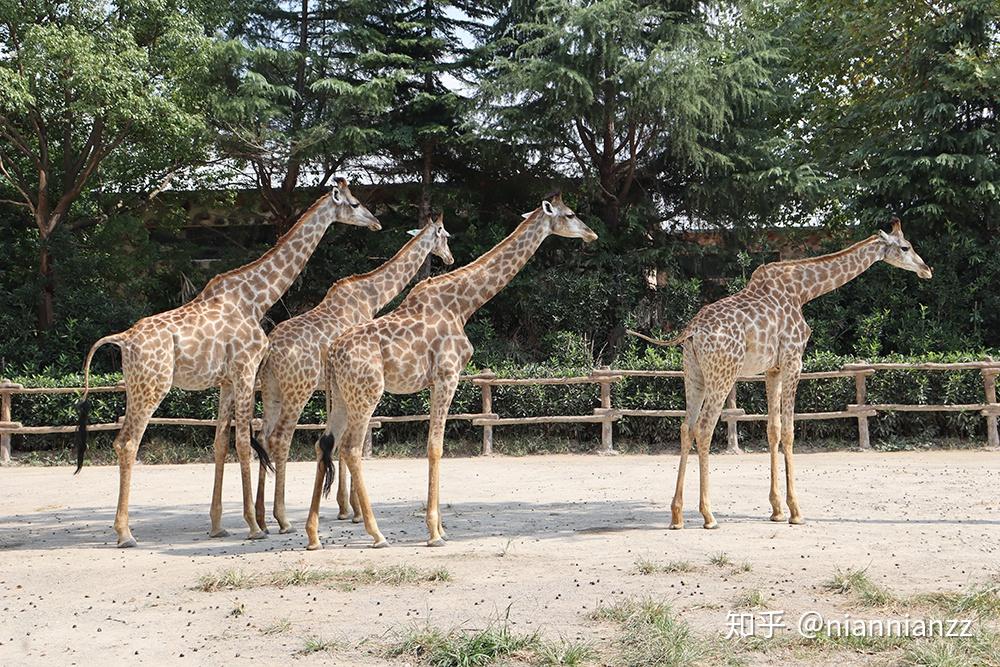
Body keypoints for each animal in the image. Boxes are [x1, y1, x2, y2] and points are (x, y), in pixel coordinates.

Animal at [76, 179, 380, 548]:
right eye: (354, 203)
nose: (376, 223)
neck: (256, 298)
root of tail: (123, 340)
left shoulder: (226, 381)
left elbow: (221, 443)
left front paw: (218, 525)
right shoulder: (246, 369)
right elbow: (244, 443)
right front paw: (253, 525)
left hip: (136, 387)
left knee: (125, 441)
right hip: (152, 386)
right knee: (127, 443)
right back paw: (125, 533)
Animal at [252, 211, 456, 536]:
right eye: (446, 236)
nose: (449, 258)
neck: (371, 297)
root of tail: (270, 351)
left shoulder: (333, 388)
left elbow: (334, 440)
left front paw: (344, 507)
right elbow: (346, 440)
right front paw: (354, 510)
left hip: (272, 390)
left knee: (261, 435)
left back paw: (260, 519)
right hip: (299, 388)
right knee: (280, 439)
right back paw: (282, 519)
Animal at [304, 192, 596, 548]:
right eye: (570, 215)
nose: (592, 234)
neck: (463, 305)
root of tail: (332, 353)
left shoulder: (434, 382)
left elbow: (434, 446)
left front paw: (441, 528)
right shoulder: (448, 375)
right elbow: (435, 447)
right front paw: (433, 533)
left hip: (341, 396)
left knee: (324, 444)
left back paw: (313, 535)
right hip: (367, 393)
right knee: (351, 448)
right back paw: (377, 533)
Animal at [628, 219, 932, 532]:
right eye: (905, 247)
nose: (926, 269)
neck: (803, 291)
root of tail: (692, 331)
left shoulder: (772, 369)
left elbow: (772, 429)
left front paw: (775, 509)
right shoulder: (793, 360)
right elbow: (788, 431)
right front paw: (795, 511)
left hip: (693, 373)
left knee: (686, 428)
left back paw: (676, 516)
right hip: (723, 372)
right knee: (704, 428)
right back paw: (708, 515)